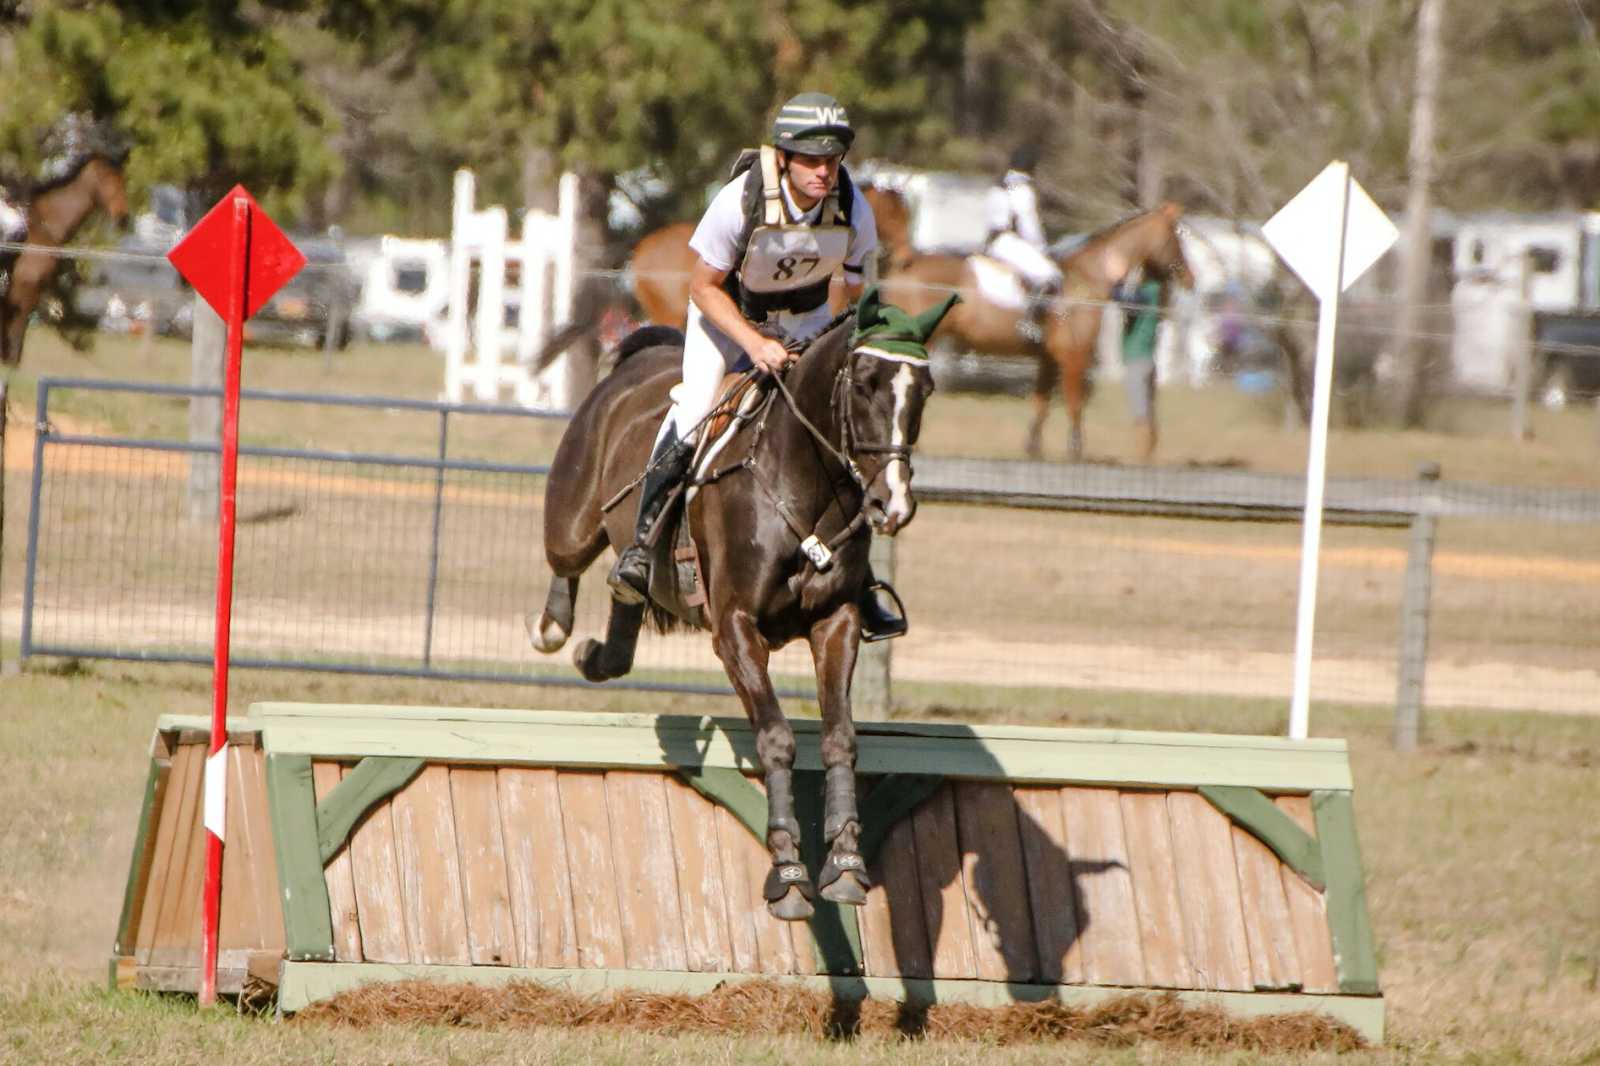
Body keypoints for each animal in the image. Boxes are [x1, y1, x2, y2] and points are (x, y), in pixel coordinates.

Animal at [1, 149, 131, 367]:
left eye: (123, 180)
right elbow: (16, 334)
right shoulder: (24, 290)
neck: (43, 229)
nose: (123, 218)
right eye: (104, 176)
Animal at [529, 287, 958, 922]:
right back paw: (557, 626)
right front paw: (788, 873)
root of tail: (638, 360)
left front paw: (844, 864)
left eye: (924, 390)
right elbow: (776, 738)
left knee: (624, 610)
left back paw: (603, 646)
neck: (805, 479)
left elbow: (839, 736)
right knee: (567, 560)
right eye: (863, 382)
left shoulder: (836, 621)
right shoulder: (734, 627)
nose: (893, 504)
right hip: (574, 519)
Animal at [880, 203, 1193, 460]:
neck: (1087, 280)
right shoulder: (1073, 357)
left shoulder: (1048, 360)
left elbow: (1041, 403)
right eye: (1176, 236)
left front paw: (1033, 447)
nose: (1190, 278)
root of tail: (900, 268)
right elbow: (1074, 403)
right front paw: (1076, 450)